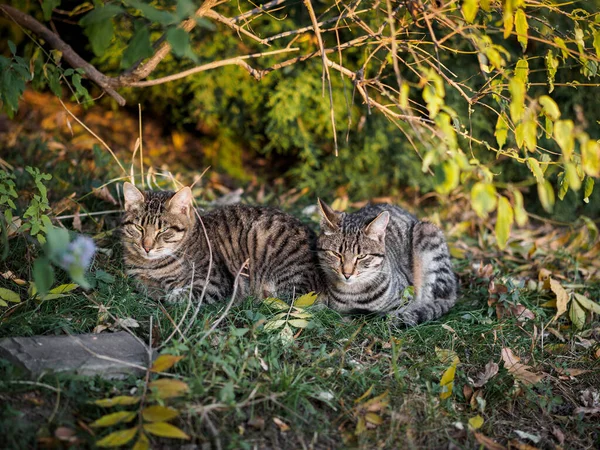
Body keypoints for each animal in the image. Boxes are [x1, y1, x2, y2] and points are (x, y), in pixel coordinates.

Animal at [119, 184, 322, 306]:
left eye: (163, 230)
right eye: (139, 227)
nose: (146, 247)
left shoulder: (216, 281)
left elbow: (186, 294)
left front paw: (170, 295)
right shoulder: (136, 275)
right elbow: (144, 284)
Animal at [316, 200, 458, 324]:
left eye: (362, 256)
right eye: (336, 254)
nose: (347, 274)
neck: (352, 295)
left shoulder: (405, 300)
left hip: (428, 234)